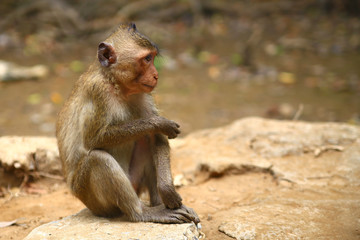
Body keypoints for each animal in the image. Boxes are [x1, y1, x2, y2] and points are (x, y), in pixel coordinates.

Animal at [56, 23, 200, 224]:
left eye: (152, 57)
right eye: (146, 59)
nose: (156, 75)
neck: (116, 83)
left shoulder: (143, 95)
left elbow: (156, 138)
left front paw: (167, 189)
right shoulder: (98, 92)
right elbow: (93, 140)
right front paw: (159, 122)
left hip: (135, 182)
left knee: (145, 140)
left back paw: (159, 204)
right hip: (94, 200)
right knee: (97, 159)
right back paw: (142, 212)